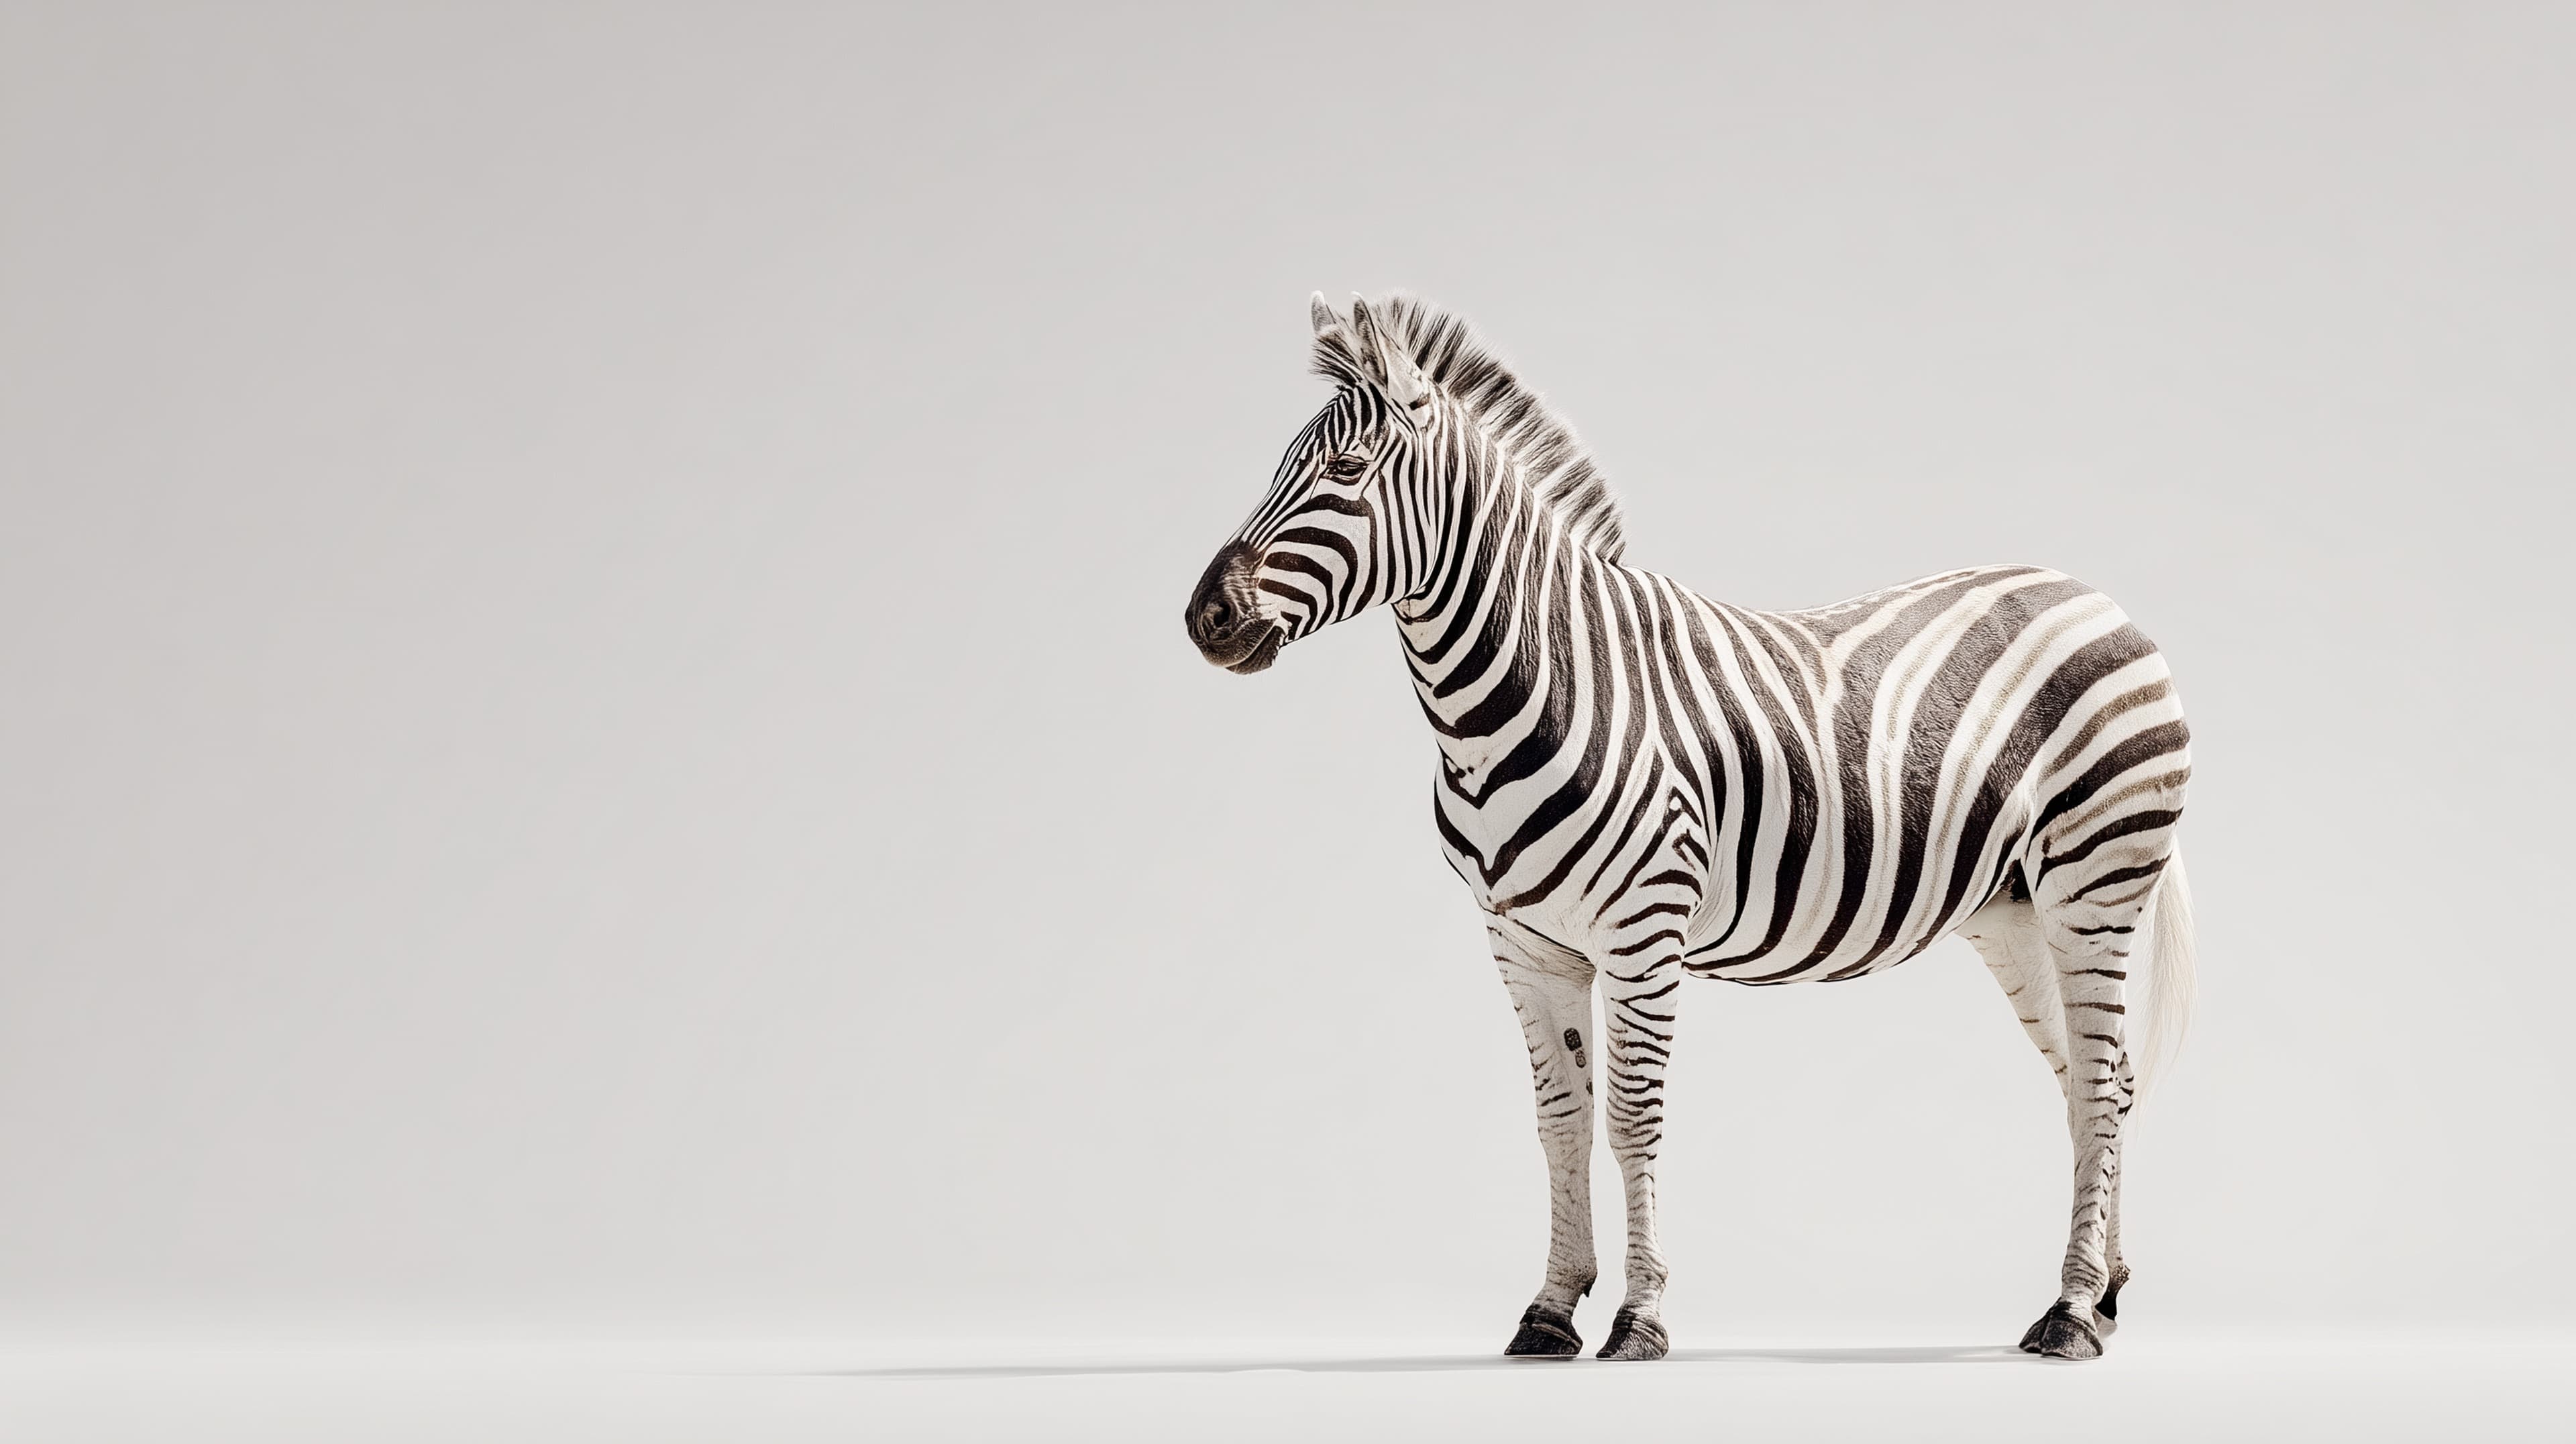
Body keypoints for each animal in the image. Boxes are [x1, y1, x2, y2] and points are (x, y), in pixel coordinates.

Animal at [1184, 293, 2197, 1362]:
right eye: (1277, 467)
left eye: (1345, 473)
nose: (1205, 618)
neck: (1528, 695)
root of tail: (2095, 596)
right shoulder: (1523, 944)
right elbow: (1561, 1120)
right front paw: (1549, 1310)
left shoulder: (1643, 931)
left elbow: (1633, 1119)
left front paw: (1639, 1317)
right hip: (2016, 913)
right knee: (2101, 1082)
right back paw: (2104, 1295)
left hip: (2093, 883)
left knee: (2099, 1084)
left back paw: (2071, 1313)